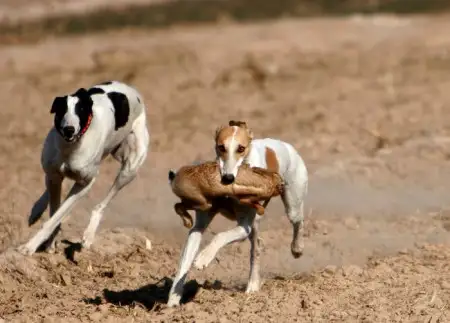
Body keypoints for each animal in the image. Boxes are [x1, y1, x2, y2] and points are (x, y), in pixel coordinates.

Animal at [16, 80, 149, 256]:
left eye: (81, 110)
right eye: (62, 109)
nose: (69, 129)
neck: (70, 148)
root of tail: (130, 88)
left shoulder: (84, 184)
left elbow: (56, 217)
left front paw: (30, 246)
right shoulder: (54, 175)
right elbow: (54, 212)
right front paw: (49, 242)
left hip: (129, 170)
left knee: (100, 206)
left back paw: (88, 235)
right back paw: (37, 209)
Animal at [167, 120, 308, 308]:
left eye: (241, 148)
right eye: (221, 147)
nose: (228, 178)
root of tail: (287, 146)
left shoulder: (244, 227)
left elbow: (220, 236)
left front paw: (203, 258)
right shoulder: (199, 227)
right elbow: (184, 262)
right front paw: (172, 303)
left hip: (292, 204)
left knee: (297, 222)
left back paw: (296, 249)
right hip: (255, 224)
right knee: (257, 247)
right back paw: (253, 285)